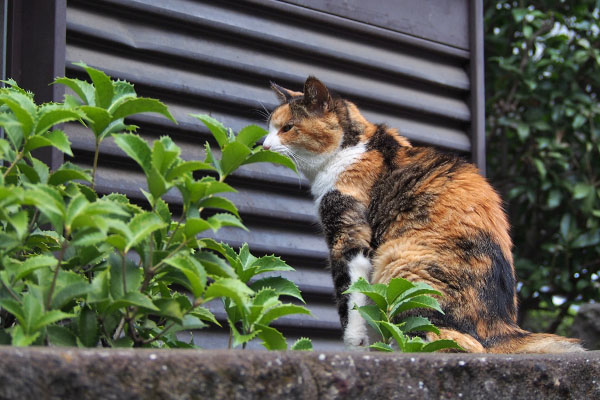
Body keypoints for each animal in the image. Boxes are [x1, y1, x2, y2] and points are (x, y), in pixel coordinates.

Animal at [262, 76, 580, 354]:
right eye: (269, 128)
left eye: (288, 127)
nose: (263, 145)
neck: (351, 149)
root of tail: (501, 327)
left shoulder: (348, 236)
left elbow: (350, 300)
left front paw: (355, 347)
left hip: (399, 263)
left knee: (457, 342)